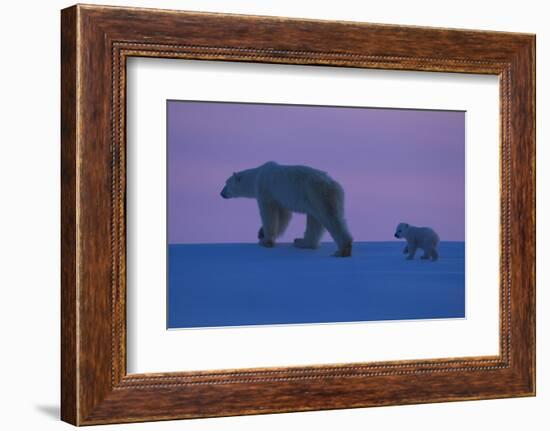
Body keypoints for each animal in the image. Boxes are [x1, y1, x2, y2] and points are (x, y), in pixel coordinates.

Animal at [221, 161, 354, 256]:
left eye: (226, 182)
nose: (221, 193)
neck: (257, 175)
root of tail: (334, 185)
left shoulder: (266, 190)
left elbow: (269, 213)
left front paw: (265, 240)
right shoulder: (280, 198)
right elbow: (284, 216)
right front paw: (261, 233)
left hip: (317, 193)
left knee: (330, 218)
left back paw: (342, 250)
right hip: (316, 199)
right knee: (315, 220)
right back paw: (302, 242)